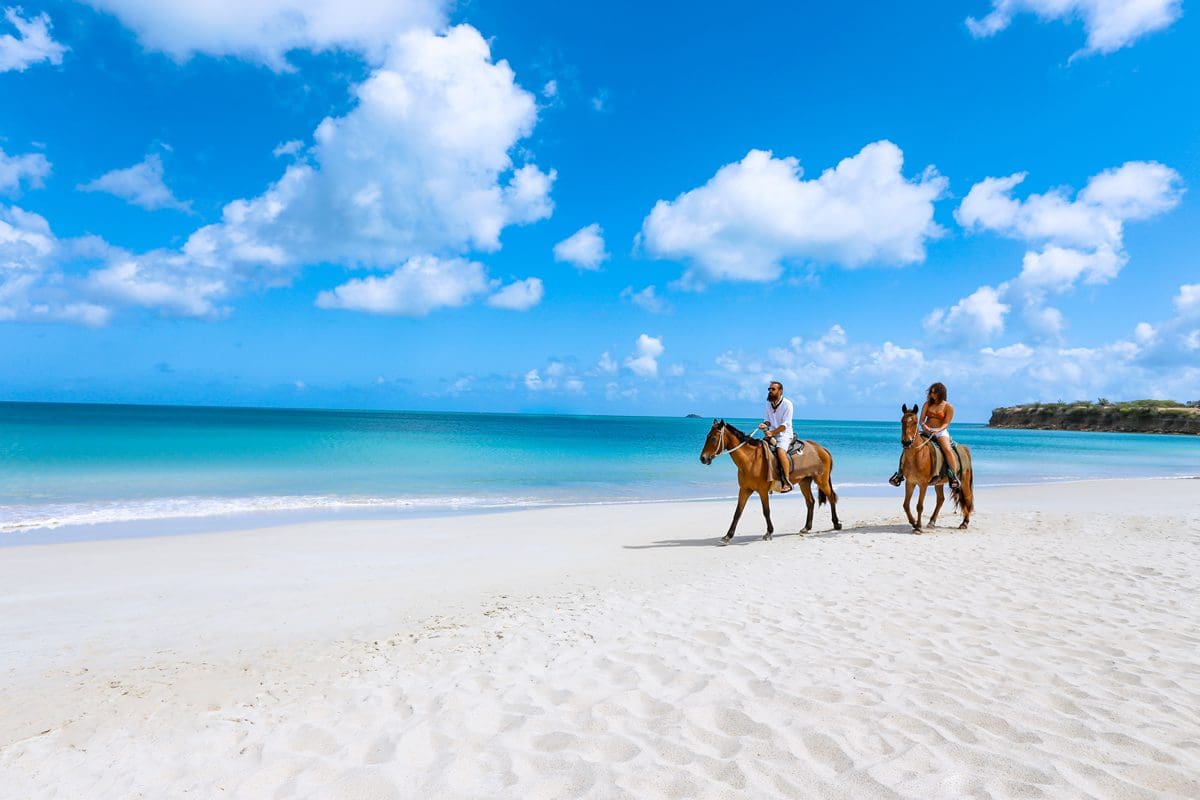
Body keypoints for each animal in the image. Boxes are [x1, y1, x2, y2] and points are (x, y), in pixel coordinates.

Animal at [699, 419, 841, 545]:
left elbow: (766, 511)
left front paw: (769, 532)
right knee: (810, 502)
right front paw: (727, 536)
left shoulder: (762, 491)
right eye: (707, 437)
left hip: (821, 480)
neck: (751, 459)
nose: (703, 458)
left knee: (831, 497)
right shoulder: (745, 490)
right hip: (804, 482)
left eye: (713, 438)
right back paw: (807, 527)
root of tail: (822, 449)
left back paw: (836, 523)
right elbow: (738, 512)